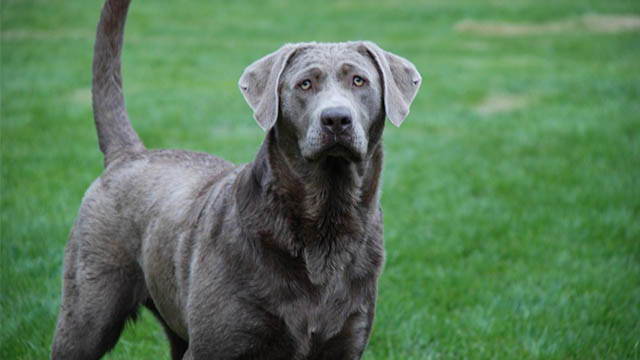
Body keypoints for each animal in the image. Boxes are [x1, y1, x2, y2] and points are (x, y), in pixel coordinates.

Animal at [50, 0, 420, 358]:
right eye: (305, 84)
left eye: (359, 81)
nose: (336, 119)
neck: (324, 219)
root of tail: (129, 154)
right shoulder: (217, 343)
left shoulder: (345, 341)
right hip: (88, 309)